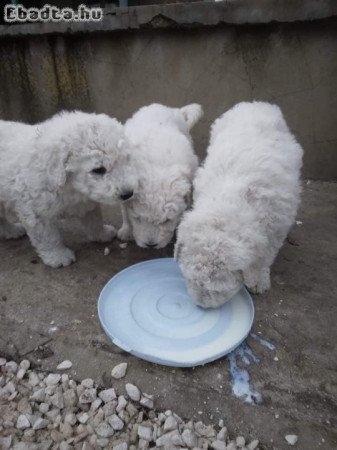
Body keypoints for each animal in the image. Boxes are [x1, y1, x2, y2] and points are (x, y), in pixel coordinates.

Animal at [0, 110, 136, 268]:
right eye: (98, 170)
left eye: (125, 160)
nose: (128, 194)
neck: (69, 186)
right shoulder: (35, 209)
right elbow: (46, 235)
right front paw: (57, 256)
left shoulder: (86, 201)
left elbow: (94, 219)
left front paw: (101, 234)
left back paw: (12, 231)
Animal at [118, 103, 202, 250]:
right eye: (138, 218)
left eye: (167, 220)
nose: (150, 245)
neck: (153, 170)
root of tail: (169, 109)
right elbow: (124, 210)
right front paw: (126, 230)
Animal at [175, 100, 304, 308]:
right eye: (191, 280)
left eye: (217, 290)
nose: (202, 305)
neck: (229, 202)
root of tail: (256, 104)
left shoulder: (277, 226)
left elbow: (265, 257)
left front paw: (258, 281)